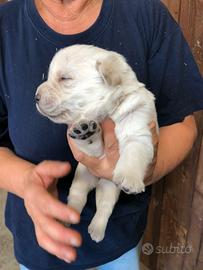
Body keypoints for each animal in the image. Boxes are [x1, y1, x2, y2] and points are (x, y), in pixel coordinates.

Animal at [35, 44, 158, 243]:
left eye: (64, 78)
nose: (35, 97)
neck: (109, 111)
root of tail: (96, 180)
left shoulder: (138, 131)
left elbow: (133, 154)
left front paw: (130, 179)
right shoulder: (96, 153)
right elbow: (91, 143)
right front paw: (84, 131)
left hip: (109, 187)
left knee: (104, 207)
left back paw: (96, 229)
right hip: (81, 176)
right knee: (77, 198)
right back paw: (68, 216)